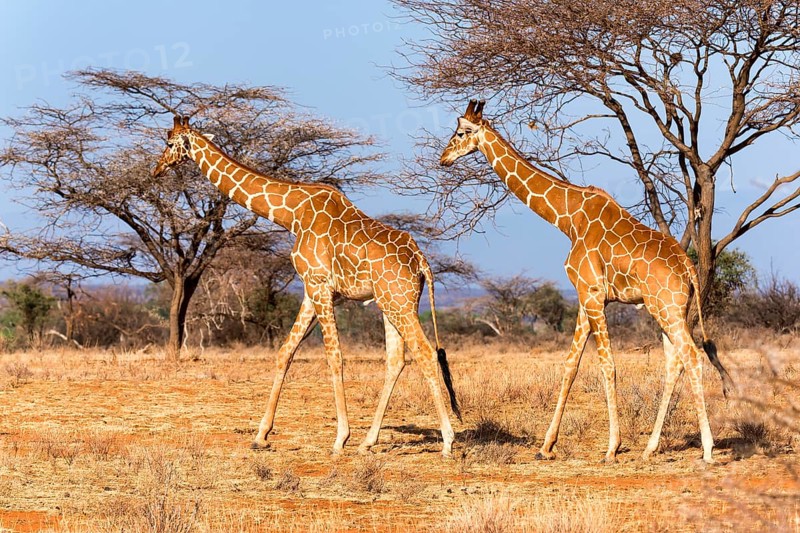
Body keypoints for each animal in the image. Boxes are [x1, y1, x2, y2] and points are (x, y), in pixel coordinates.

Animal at [154, 116, 461, 456]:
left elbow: (334, 356)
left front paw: (340, 438)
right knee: (396, 360)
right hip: (392, 303)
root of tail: (422, 261)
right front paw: (261, 435)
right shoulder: (313, 291)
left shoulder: (318, 285)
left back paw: (447, 441)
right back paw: (369, 441)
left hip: (398, 302)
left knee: (426, 354)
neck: (292, 213)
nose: (157, 169)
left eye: (169, 143)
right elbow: (285, 352)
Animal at [440, 101, 735, 464]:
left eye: (460, 132)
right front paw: (545, 447)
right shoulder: (585, 297)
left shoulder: (592, 293)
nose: (444, 158)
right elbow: (570, 365)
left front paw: (612, 446)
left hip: (665, 307)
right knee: (674, 361)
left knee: (691, 356)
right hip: (670, 309)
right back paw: (650, 447)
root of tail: (689, 267)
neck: (567, 219)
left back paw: (707, 450)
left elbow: (607, 364)